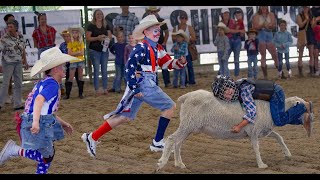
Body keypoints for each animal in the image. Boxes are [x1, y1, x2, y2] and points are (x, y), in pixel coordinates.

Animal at [157, 89, 308, 171]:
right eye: (302, 106)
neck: (271, 110)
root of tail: (185, 96)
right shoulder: (254, 131)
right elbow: (256, 148)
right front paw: (261, 164)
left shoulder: (263, 130)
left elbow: (278, 137)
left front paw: (287, 154)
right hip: (188, 124)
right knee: (171, 139)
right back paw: (162, 163)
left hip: (189, 126)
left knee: (178, 143)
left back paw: (179, 164)